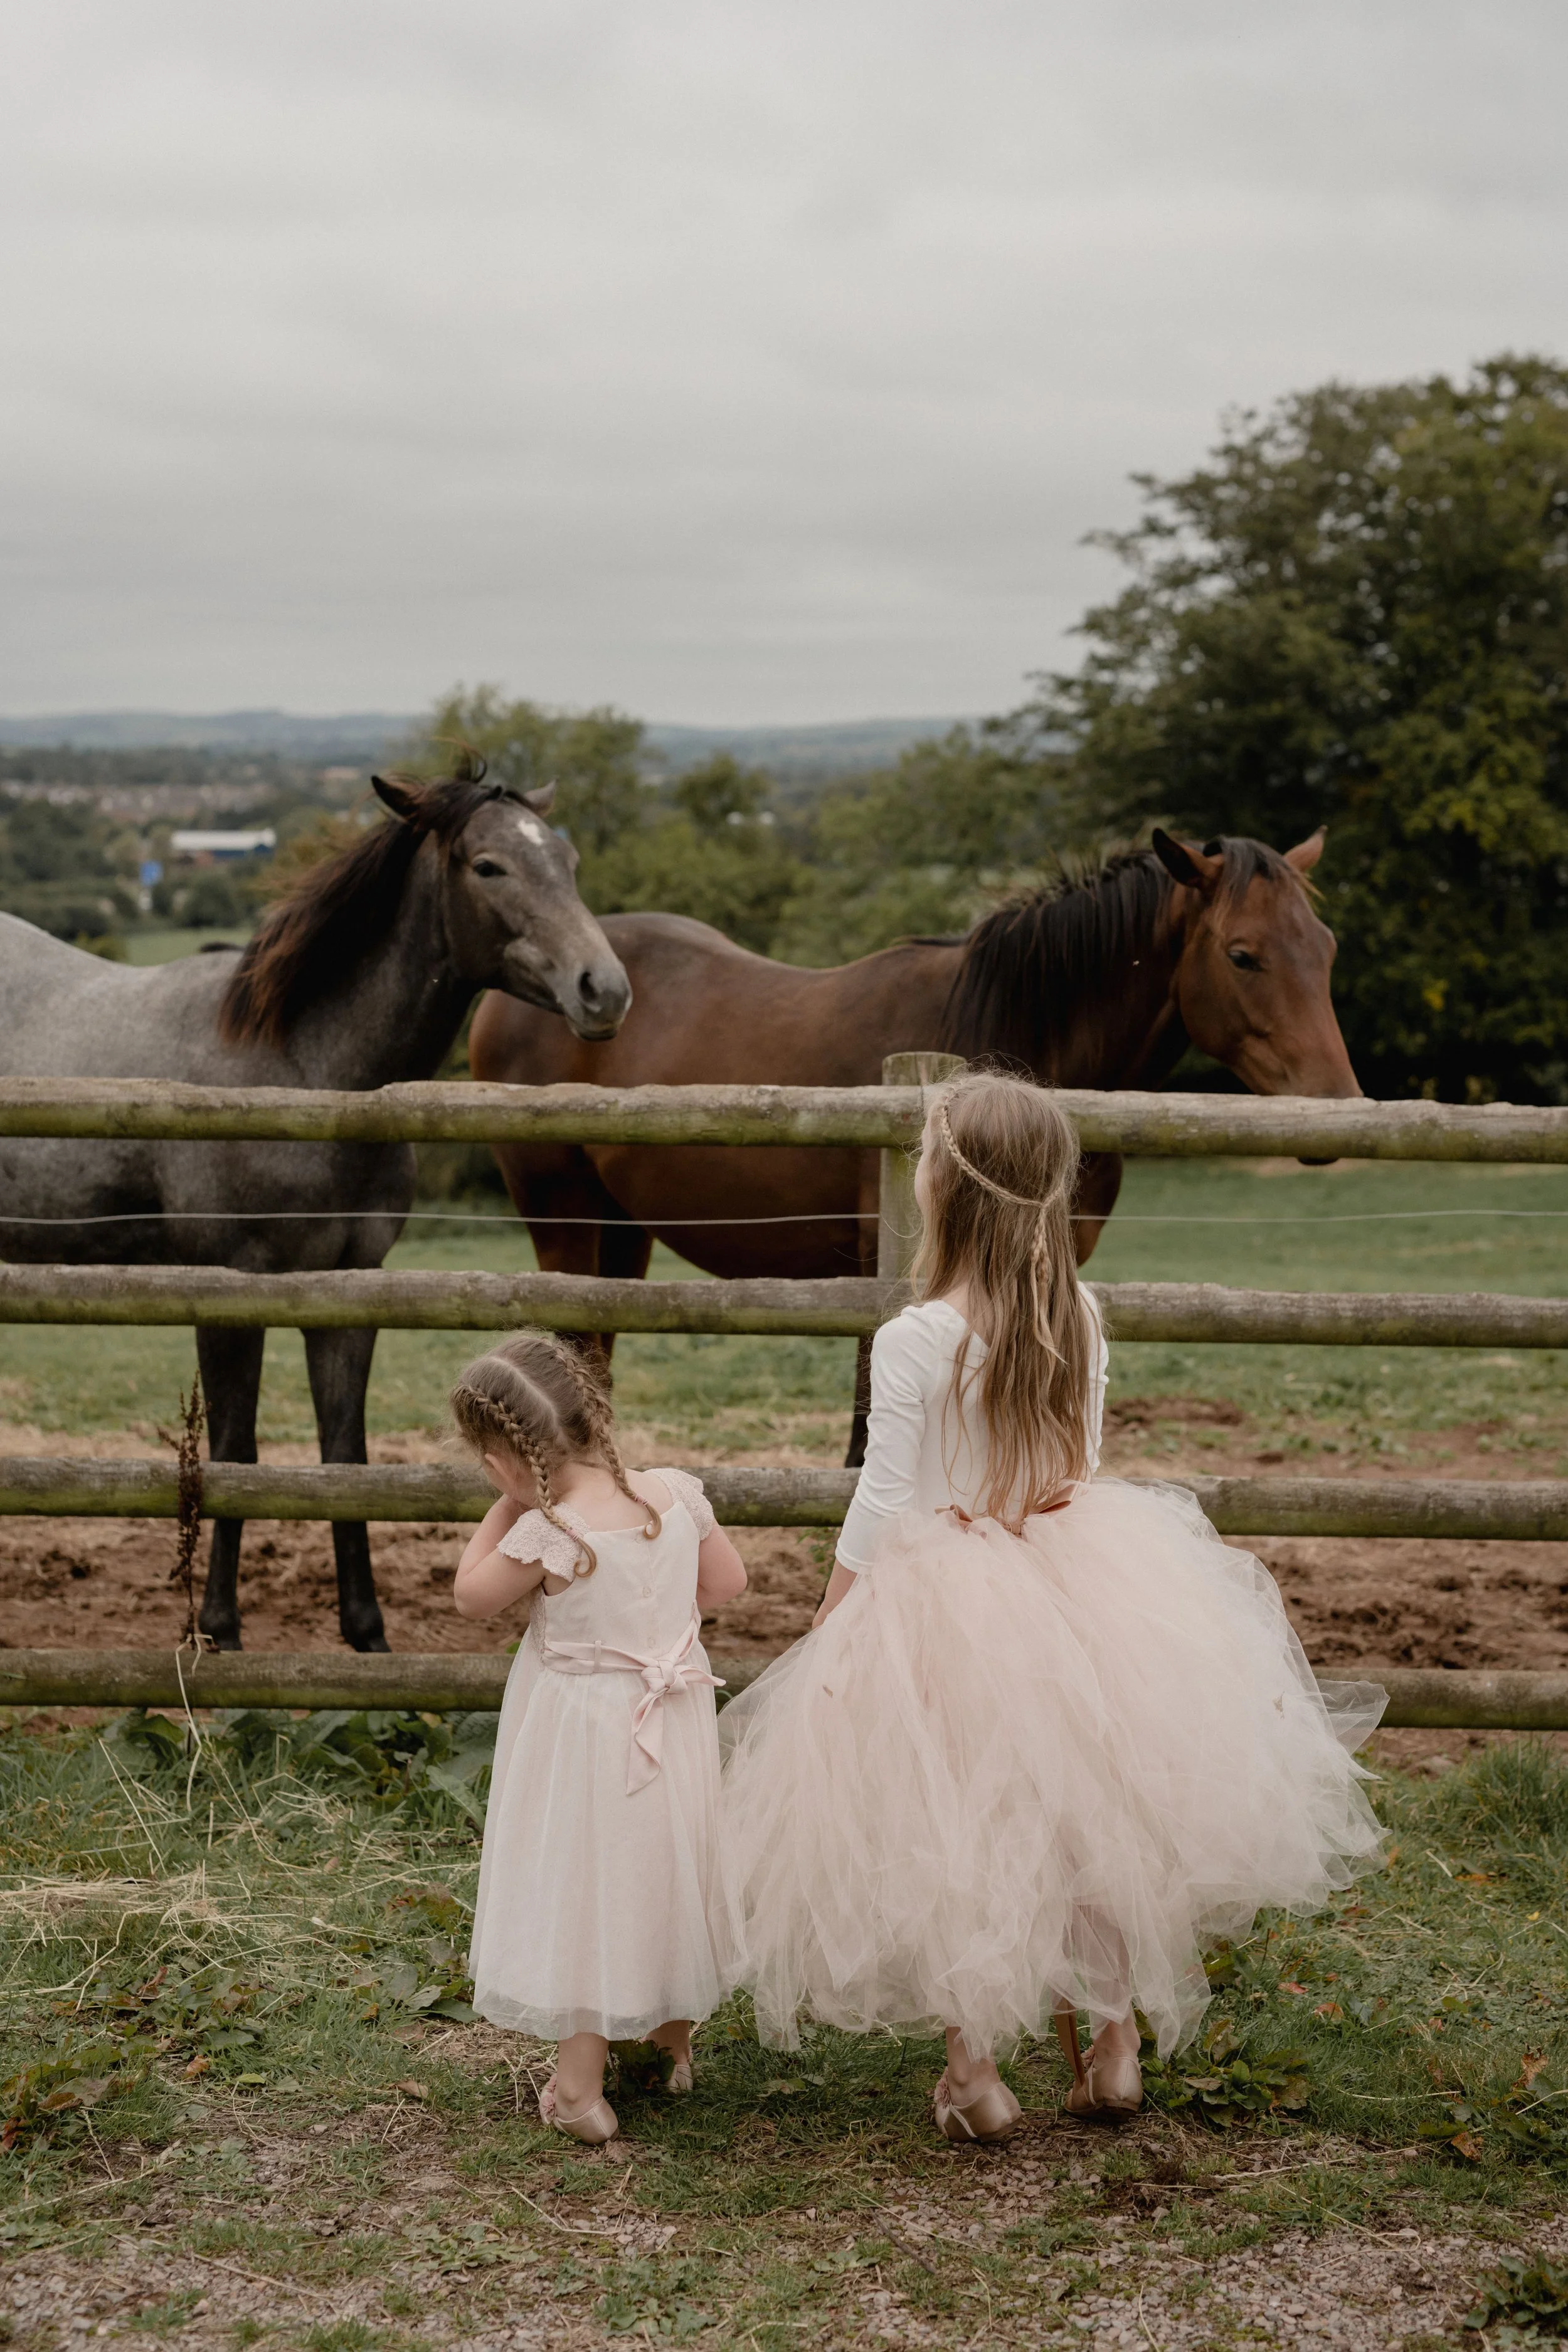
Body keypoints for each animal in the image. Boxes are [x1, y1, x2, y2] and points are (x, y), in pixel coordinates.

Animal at [0, 762, 631, 1650]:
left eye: (568, 861)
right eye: (488, 867)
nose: (602, 990)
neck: (303, 1066)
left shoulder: (347, 1289)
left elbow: (344, 1456)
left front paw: (366, 1632)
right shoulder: (232, 1288)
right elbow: (235, 1453)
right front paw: (219, 1628)